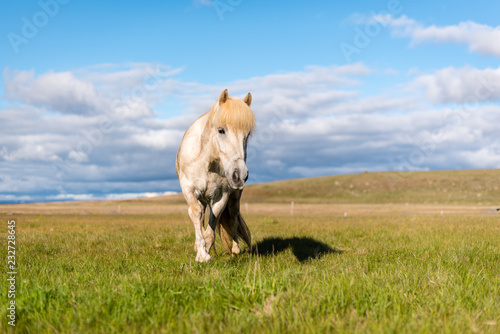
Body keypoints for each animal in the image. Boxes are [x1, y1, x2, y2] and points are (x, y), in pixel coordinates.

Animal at [177, 90, 256, 262]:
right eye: (221, 130)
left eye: (247, 135)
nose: (240, 175)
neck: (208, 163)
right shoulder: (189, 189)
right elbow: (196, 214)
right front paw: (201, 252)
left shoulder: (222, 196)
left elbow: (213, 224)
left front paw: (205, 251)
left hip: (234, 197)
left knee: (233, 217)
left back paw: (235, 249)